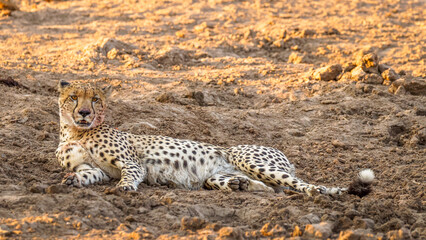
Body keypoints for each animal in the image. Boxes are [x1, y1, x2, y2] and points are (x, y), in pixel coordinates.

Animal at [55, 80, 374, 197]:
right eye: (74, 97)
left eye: (95, 99)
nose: (84, 112)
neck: (76, 131)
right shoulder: (94, 168)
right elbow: (86, 174)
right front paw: (71, 181)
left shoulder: (132, 163)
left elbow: (130, 175)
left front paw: (124, 188)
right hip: (222, 174)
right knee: (268, 189)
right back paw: (239, 185)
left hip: (252, 160)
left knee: (303, 185)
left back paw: (320, 192)